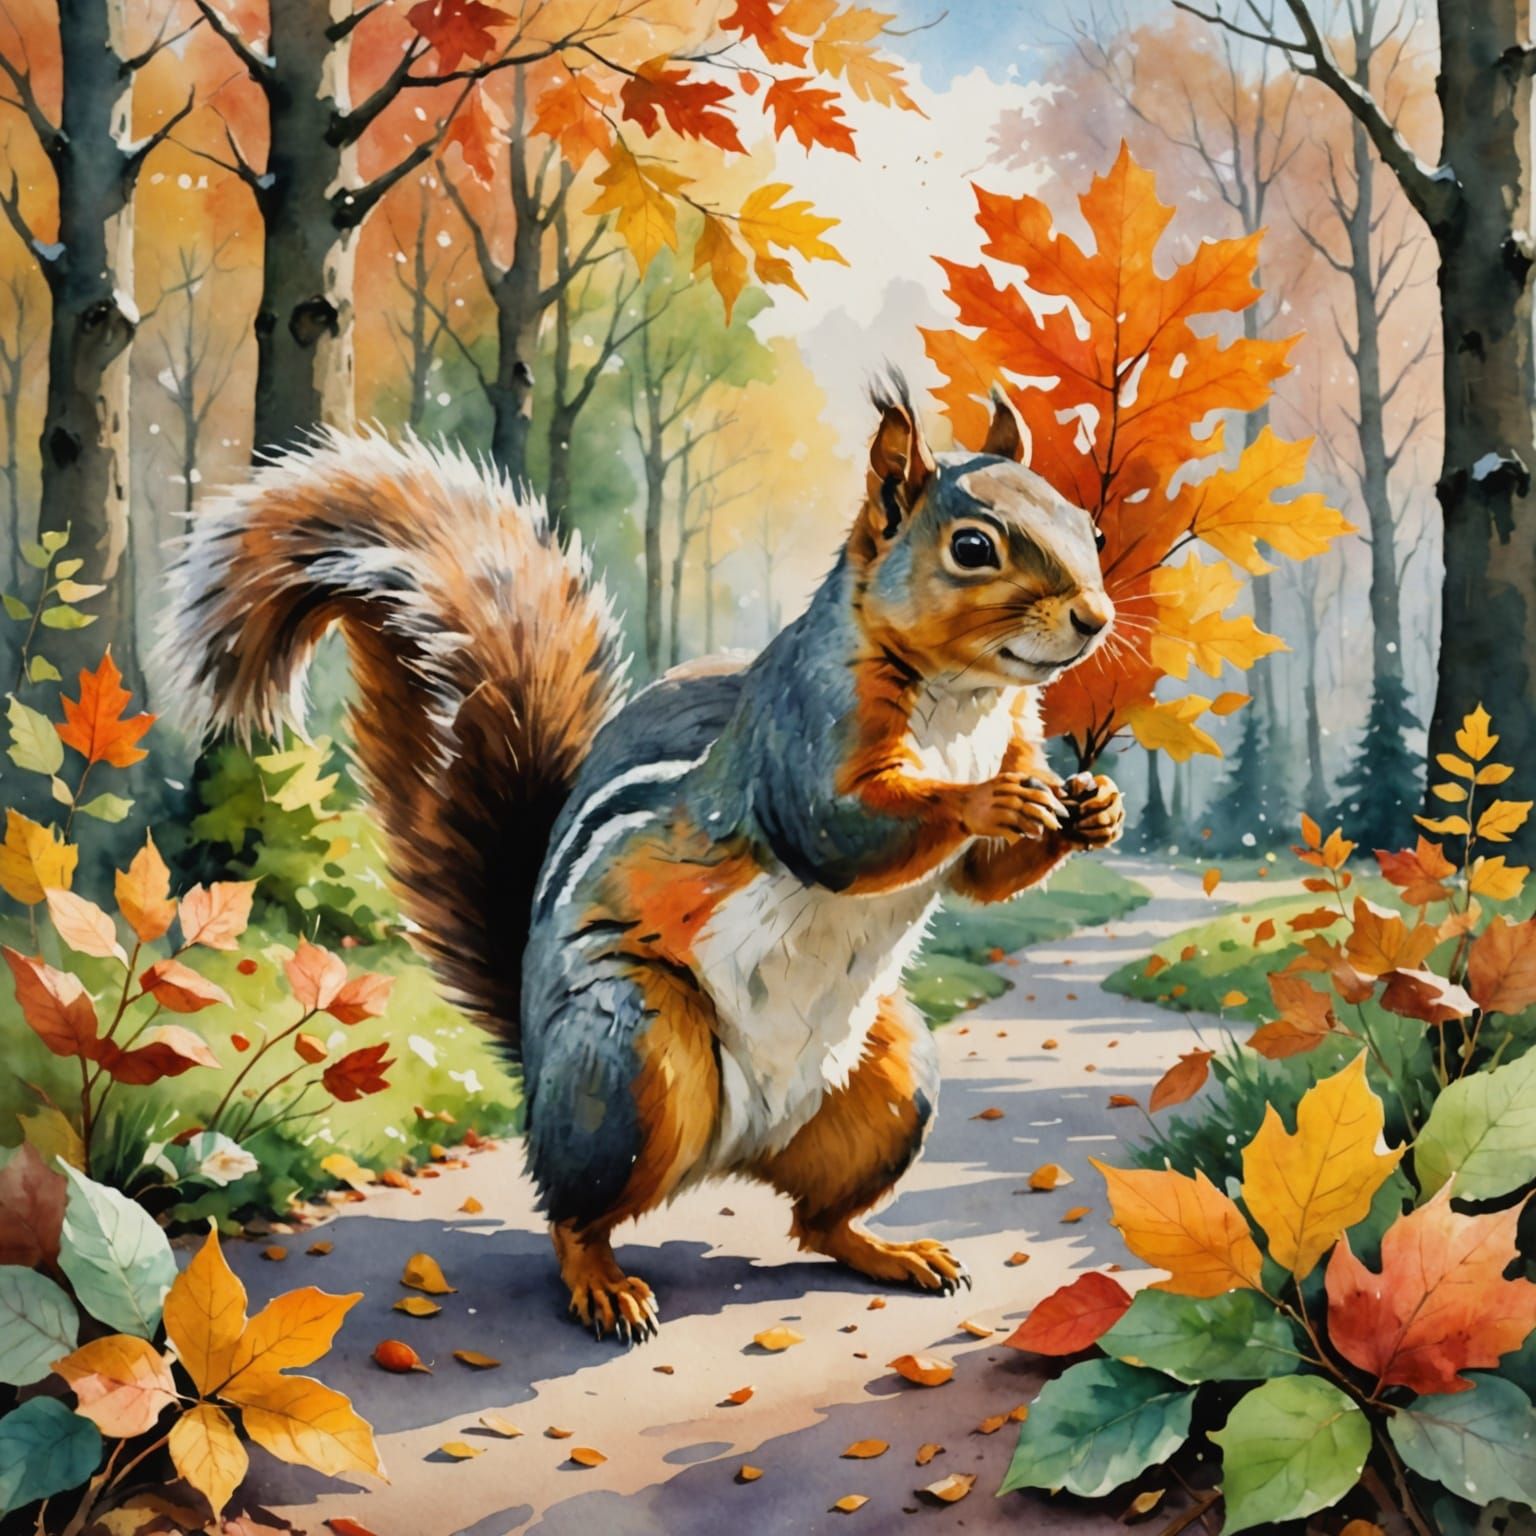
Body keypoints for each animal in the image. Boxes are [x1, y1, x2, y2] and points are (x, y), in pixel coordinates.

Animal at [162, 380, 1124, 1343]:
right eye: (973, 547)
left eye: (1090, 526)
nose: (1096, 618)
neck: (966, 701)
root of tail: (733, 1150)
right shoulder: (802, 734)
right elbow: (840, 832)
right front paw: (986, 800)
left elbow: (981, 877)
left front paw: (1093, 808)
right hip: (630, 1054)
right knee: (572, 1212)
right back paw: (604, 1285)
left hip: (891, 1081)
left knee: (817, 1220)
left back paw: (891, 1251)